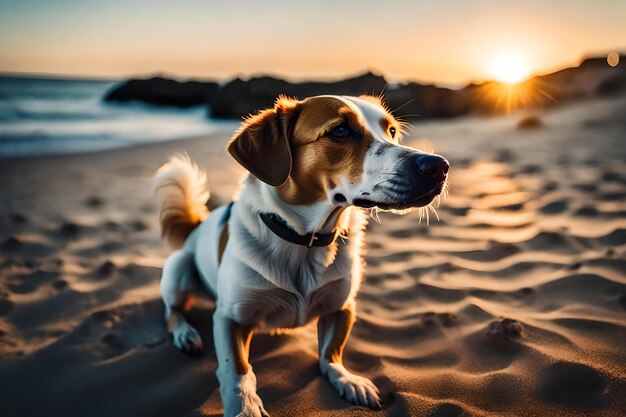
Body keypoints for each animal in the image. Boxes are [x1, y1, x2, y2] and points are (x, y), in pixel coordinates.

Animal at [153, 95, 446, 416]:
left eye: (391, 131)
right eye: (340, 131)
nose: (438, 166)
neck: (306, 242)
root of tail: (197, 226)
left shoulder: (342, 305)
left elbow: (331, 353)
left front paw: (347, 379)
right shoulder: (230, 317)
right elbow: (236, 369)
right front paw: (244, 405)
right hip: (179, 269)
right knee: (171, 310)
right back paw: (185, 333)